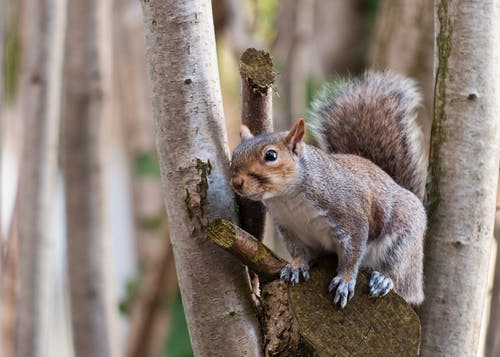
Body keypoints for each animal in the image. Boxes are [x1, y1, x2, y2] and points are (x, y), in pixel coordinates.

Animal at [229, 71, 426, 308]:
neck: (288, 199)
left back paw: (384, 279)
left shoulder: (351, 218)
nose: (236, 183)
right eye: (235, 153)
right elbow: (297, 250)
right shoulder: (288, 227)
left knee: (400, 275)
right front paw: (296, 266)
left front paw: (345, 281)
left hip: (403, 241)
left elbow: (352, 253)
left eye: (271, 155)